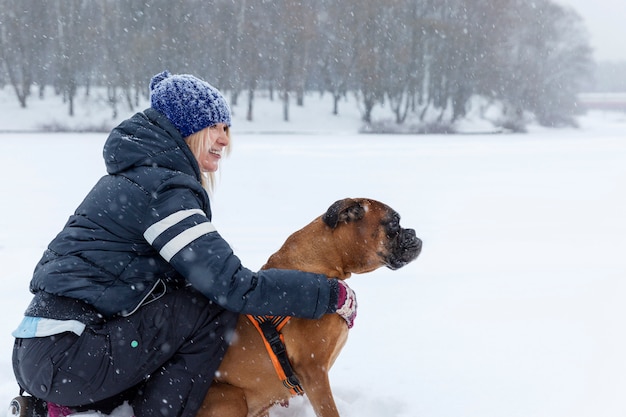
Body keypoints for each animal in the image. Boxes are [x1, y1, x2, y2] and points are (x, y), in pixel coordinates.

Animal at [197, 197, 420, 416]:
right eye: (394, 223)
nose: (413, 232)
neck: (322, 266)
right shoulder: (314, 370)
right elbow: (329, 410)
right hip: (232, 398)